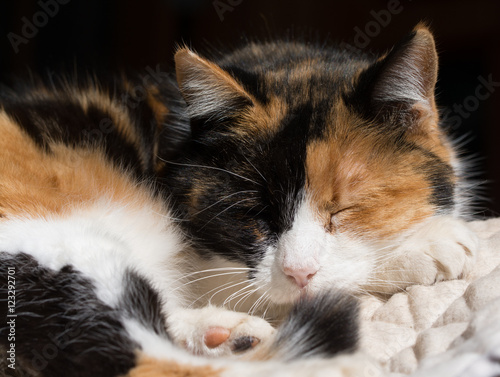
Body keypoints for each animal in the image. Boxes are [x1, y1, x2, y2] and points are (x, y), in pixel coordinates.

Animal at [0, 24, 478, 376]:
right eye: (254, 215)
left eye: (344, 209)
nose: (299, 272)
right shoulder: (213, 271)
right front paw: (431, 244)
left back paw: (225, 335)